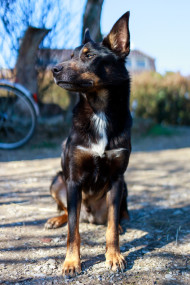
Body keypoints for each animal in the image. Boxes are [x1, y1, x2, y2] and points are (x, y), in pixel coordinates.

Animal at [45, 11, 133, 276]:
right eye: (71, 56)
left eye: (89, 56)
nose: (53, 69)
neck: (99, 110)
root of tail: (91, 216)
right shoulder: (73, 180)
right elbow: (73, 232)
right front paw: (71, 262)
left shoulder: (117, 179)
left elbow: (111, 227)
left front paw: (114, 256)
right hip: (58, 180)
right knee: (68, 213)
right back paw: (56, 220)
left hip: (124, 186)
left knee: (116, 216)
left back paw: (122, 224)